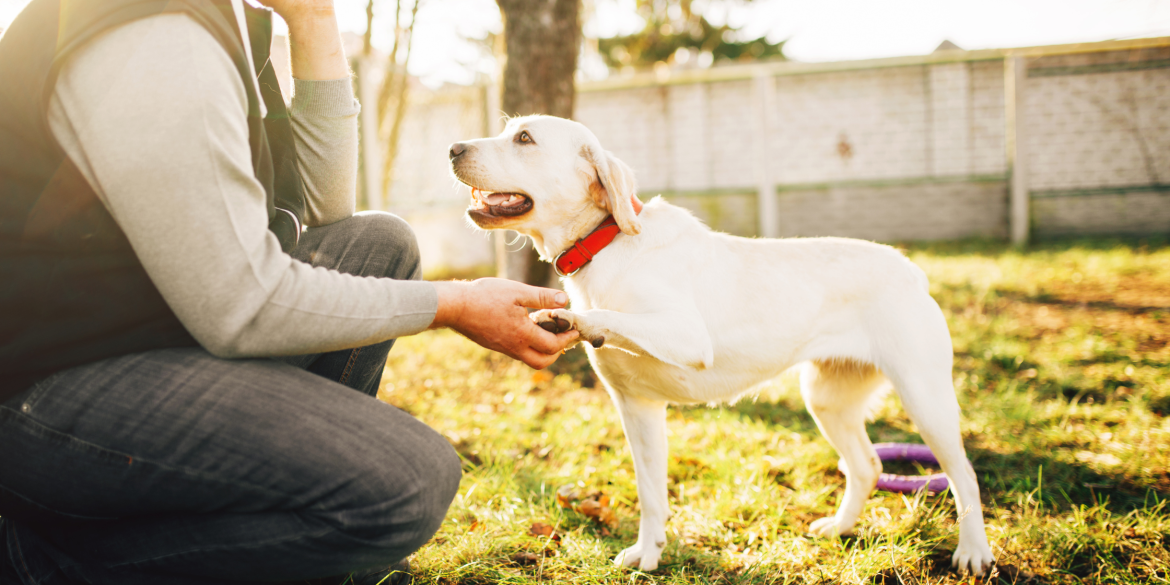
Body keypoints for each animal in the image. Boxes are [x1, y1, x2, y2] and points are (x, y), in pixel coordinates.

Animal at [446, 115, 996, 575]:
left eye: (524, 138)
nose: (451, 147)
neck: (606, 243)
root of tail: (910, 269)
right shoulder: (637, 409)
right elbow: (650, 492)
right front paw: (648, 553)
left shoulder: (686, 335)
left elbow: (608, 316)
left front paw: (571, 318)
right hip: (826, 400)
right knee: (867, 466)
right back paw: (839, 528)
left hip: (925, 400)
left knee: (964, 475)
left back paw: (973, 553)